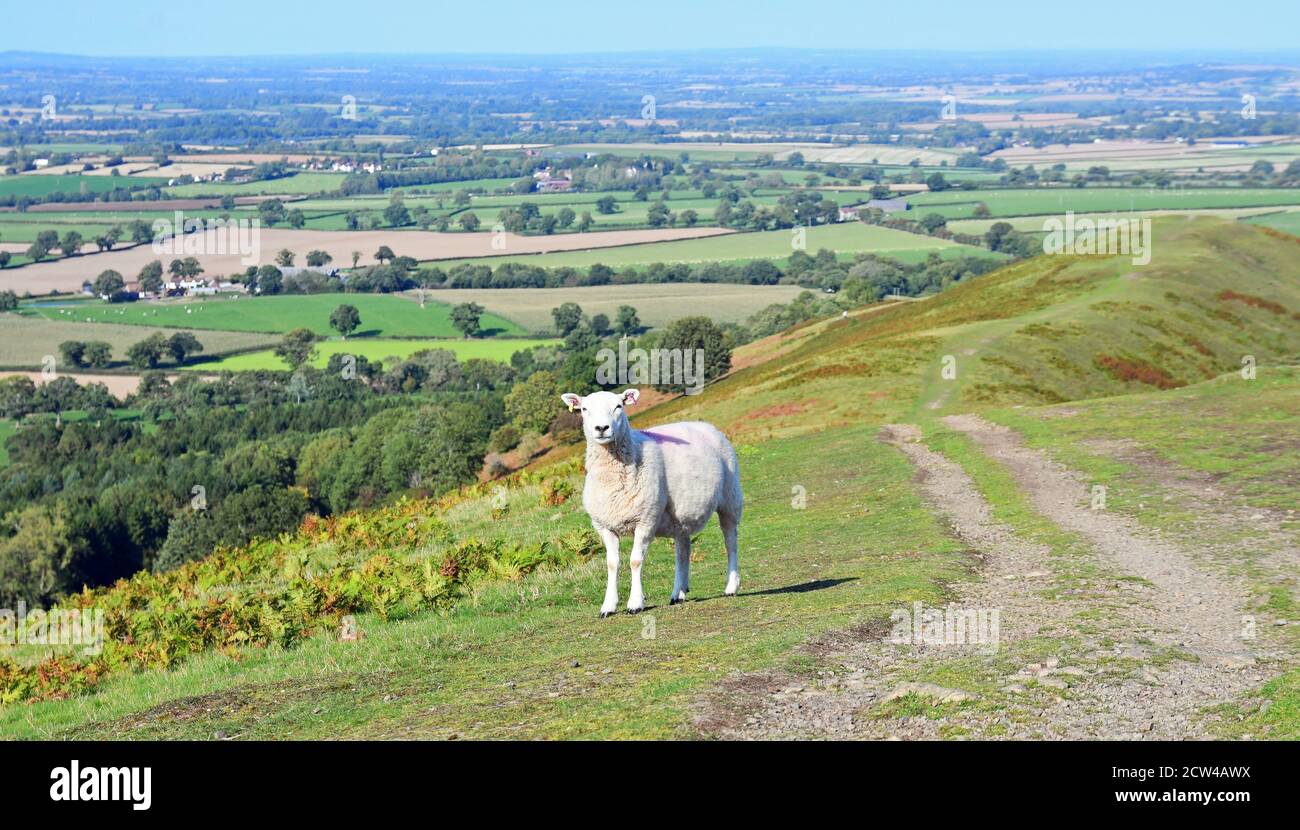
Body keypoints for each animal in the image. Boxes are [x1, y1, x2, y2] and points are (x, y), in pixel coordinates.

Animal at [556, 390, 743, 619]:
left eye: (619, 406)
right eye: (584, 409)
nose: (601, 428)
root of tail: (707, 426)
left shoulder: (645, 519)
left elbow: (635, 561)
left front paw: (635, 603)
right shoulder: (604, 526)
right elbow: (611, 564)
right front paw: (608, 606)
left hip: (730, 497)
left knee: (730, 541)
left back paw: (731, 586)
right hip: (681, 515)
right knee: (683, 550)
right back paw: (678, 593)